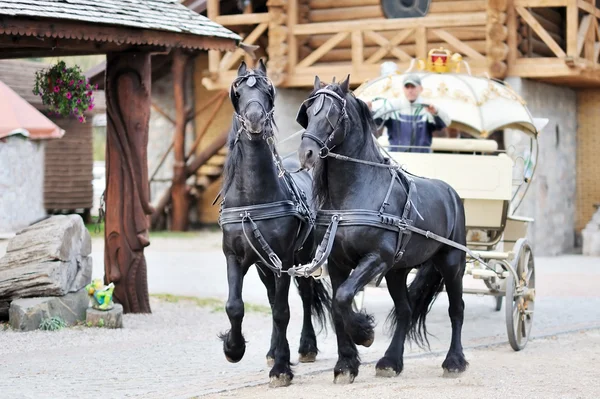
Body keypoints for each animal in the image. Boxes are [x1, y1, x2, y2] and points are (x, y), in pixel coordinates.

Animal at [217, 61, 330, 390]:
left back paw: (305, 347)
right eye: (237, 91)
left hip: (303, 257)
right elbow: (235, 306)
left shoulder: (284, 260)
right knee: (272, 298)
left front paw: (281, 369)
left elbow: (282, 312)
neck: (253, 199)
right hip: (264, 265)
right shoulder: (235, 257)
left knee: (305, 296)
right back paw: (273, 350)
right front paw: (234, 348)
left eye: (268, 92)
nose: (255, 119)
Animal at [296, 75, 468, 384]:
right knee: (405, 311)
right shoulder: (338, 263)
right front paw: (346, 364)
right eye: (309, 111)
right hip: (398, 271)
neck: (354, 195)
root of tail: (450, 193)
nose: (306, 153)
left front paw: (364, 332)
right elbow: (338, 305)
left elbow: (343, 297)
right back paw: (390, 362)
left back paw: (454, 361)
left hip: (451, 263)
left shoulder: (377, 258)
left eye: (332, 114)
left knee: (456, 309)